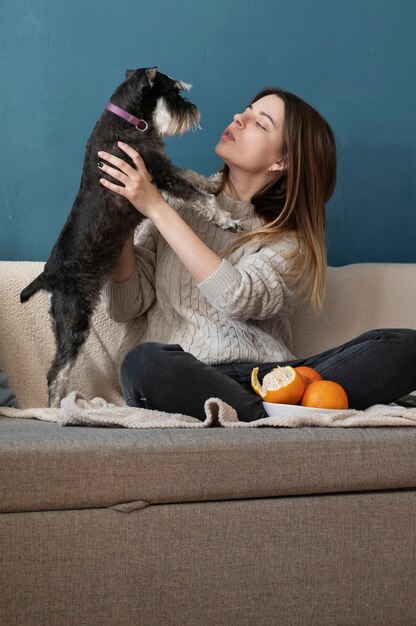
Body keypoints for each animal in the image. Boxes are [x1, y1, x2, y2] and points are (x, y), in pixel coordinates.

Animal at [20, 67, 237, 404]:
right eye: (174, 92)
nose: (193, 109)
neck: (127, 121)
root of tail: (48, 274)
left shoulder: (159, 167)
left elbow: (192, 176)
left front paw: (213, 181)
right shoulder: (160, 175)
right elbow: (198, 196)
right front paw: (226, 218)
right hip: (74, 318)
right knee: (57, 371)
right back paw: (55, 406)